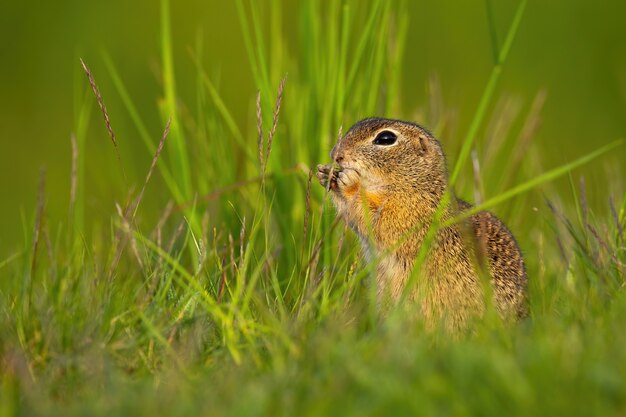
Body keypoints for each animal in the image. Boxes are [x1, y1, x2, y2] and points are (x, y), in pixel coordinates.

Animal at [316, 118, 528, 328]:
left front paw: (349, 182)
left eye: (385, 139)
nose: (335, 154)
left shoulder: (407, 214)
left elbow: (377, 220)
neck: (416, 186)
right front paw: (325, 174)